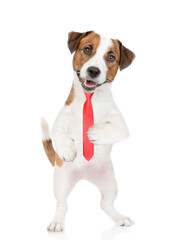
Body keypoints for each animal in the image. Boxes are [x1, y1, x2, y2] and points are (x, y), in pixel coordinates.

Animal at [41, 31, 135, 232]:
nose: (93, 70)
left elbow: (117, 131)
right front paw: (68, 149)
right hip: (61, 182)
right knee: (62, 204)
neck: (90, 97)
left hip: (110, 184)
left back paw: (119, 218)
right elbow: (57, 132)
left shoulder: (122, 126)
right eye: (87, 49)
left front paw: (94, 133)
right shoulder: (61, 118)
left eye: (111, 57)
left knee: (106, 204)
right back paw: (57, 221)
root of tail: (85, 175)